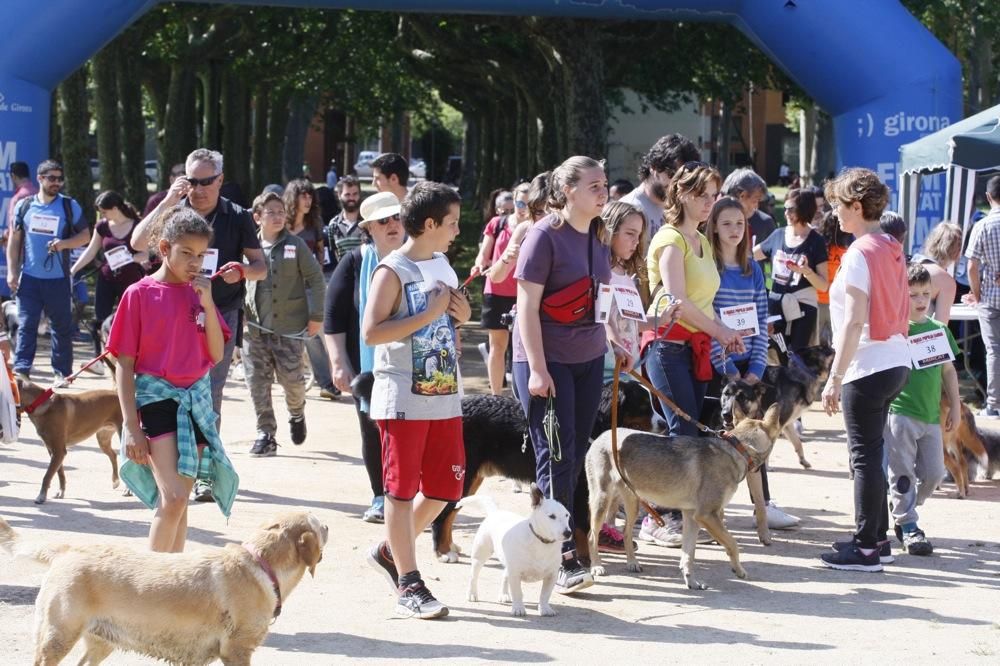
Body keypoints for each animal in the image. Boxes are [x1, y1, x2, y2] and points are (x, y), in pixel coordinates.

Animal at [0, 510, 328, 660]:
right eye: (320, 525)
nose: (328, 525)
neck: (261, 563)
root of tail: (66, 550)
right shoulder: (236, 650)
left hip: (99, 642)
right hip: (57, 637)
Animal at [352, 368, 656, 560]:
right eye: (644, 405)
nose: (662, 422)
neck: (595, 427)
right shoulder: (578, 486)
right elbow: (581, 527)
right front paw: (585, 561)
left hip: (470, 478)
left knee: (450, 511)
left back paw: (449, 547)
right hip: (462, 474)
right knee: (442, 512)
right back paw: (443, 551)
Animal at [458, 482, 572, 616]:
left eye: (567, 515)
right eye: (552, 516)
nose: (568, 533)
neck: (542, 543)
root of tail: (495, 512)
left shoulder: (551, 576)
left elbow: (545, 595)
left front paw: (545, 609)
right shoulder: (516, 574)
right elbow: (517, 593)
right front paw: (518, 608)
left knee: (504, 575)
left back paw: (504, 595)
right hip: (480, 555)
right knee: (474, 575)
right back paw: (472, 593)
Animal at [584, 402, 780, 588]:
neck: (738, 448)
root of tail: (603, 435)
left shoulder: (692, 517)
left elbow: (688, 555)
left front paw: (691, 581)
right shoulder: (707, 515)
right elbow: (732, 544)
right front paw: (738, 570)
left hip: (632, 505)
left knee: (626, 533)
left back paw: (632, 562)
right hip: (602, 501)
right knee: (592, 536)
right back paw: (596, 566)